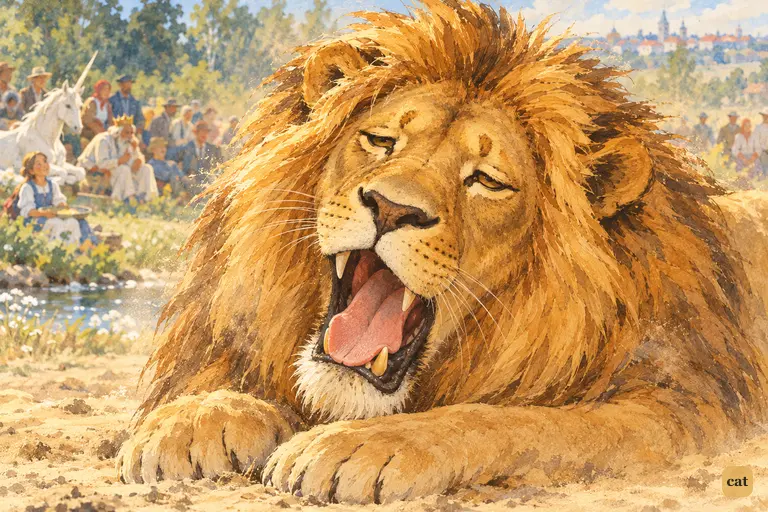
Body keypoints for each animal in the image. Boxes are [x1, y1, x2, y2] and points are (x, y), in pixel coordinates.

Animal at [117, 0, 768, 503]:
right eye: (381, 140)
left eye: (486, 180)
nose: (390, 209)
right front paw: (189, 423)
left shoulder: (687, 405)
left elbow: (522, 421)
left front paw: (362, 446)